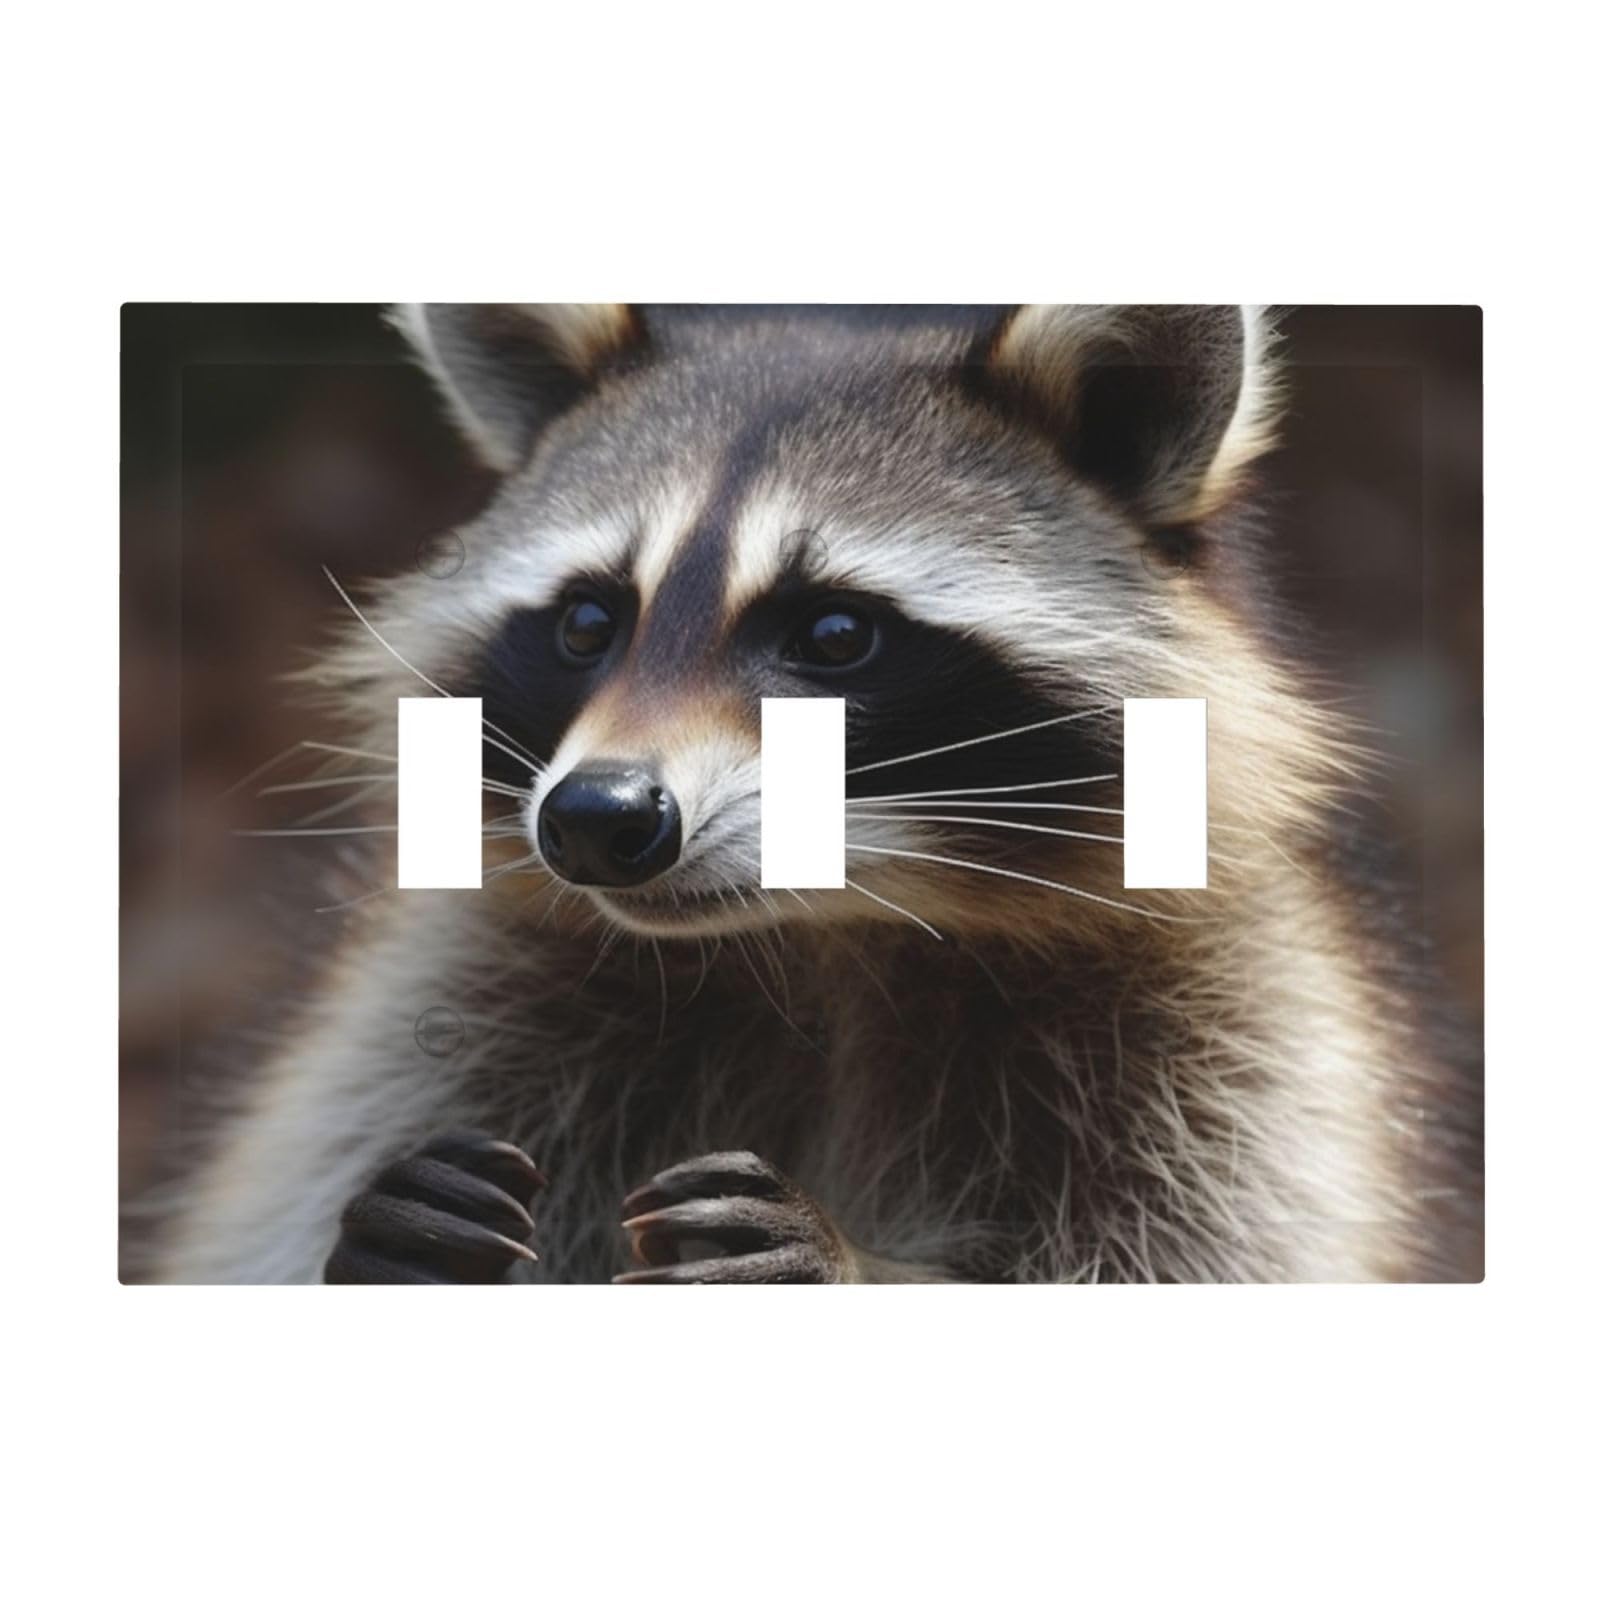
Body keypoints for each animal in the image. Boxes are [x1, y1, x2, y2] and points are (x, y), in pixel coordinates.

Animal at [157, 304, 1482, 1284]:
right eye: (588, 622)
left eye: (835, 634)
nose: (595, 819)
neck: (820, 928)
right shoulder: (453, 1000)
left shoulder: (1236, 1042)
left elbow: (1197, 1247)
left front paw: (856, 1263)